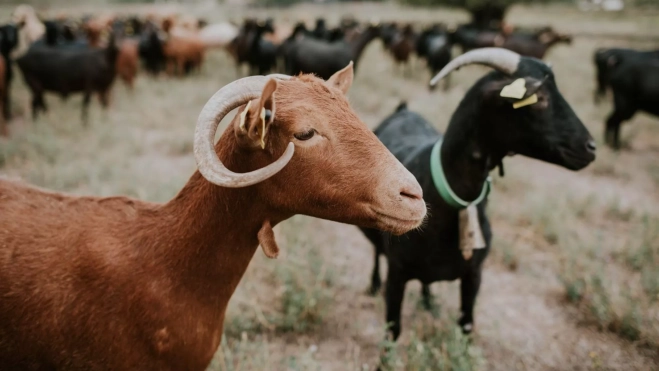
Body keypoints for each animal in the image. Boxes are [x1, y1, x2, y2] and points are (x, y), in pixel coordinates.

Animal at [360, 48, 600, 342]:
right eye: (540, 98)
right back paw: (373, 285)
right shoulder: (397, 273)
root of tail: (403, 110)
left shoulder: (474, 275)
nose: (590, 147)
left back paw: (428, 300)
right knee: (375, 251)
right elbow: (392, 331)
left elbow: (466, 326)